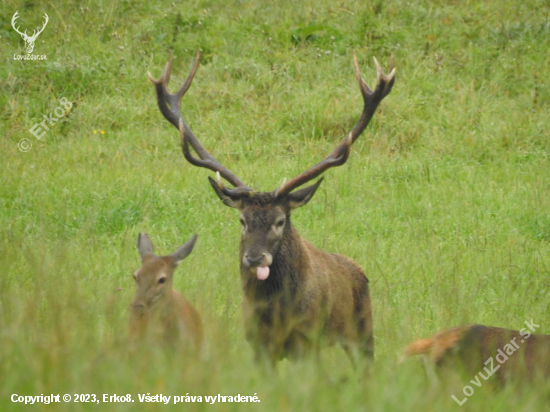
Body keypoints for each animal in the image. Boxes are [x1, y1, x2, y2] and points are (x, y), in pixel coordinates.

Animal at [147, 50, 396, 366]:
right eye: (242, 220)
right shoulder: (257, 344)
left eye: (280, 221)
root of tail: (360, 271)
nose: (255, 258)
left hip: (362, 331)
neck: (276, 313)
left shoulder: (307, 340)